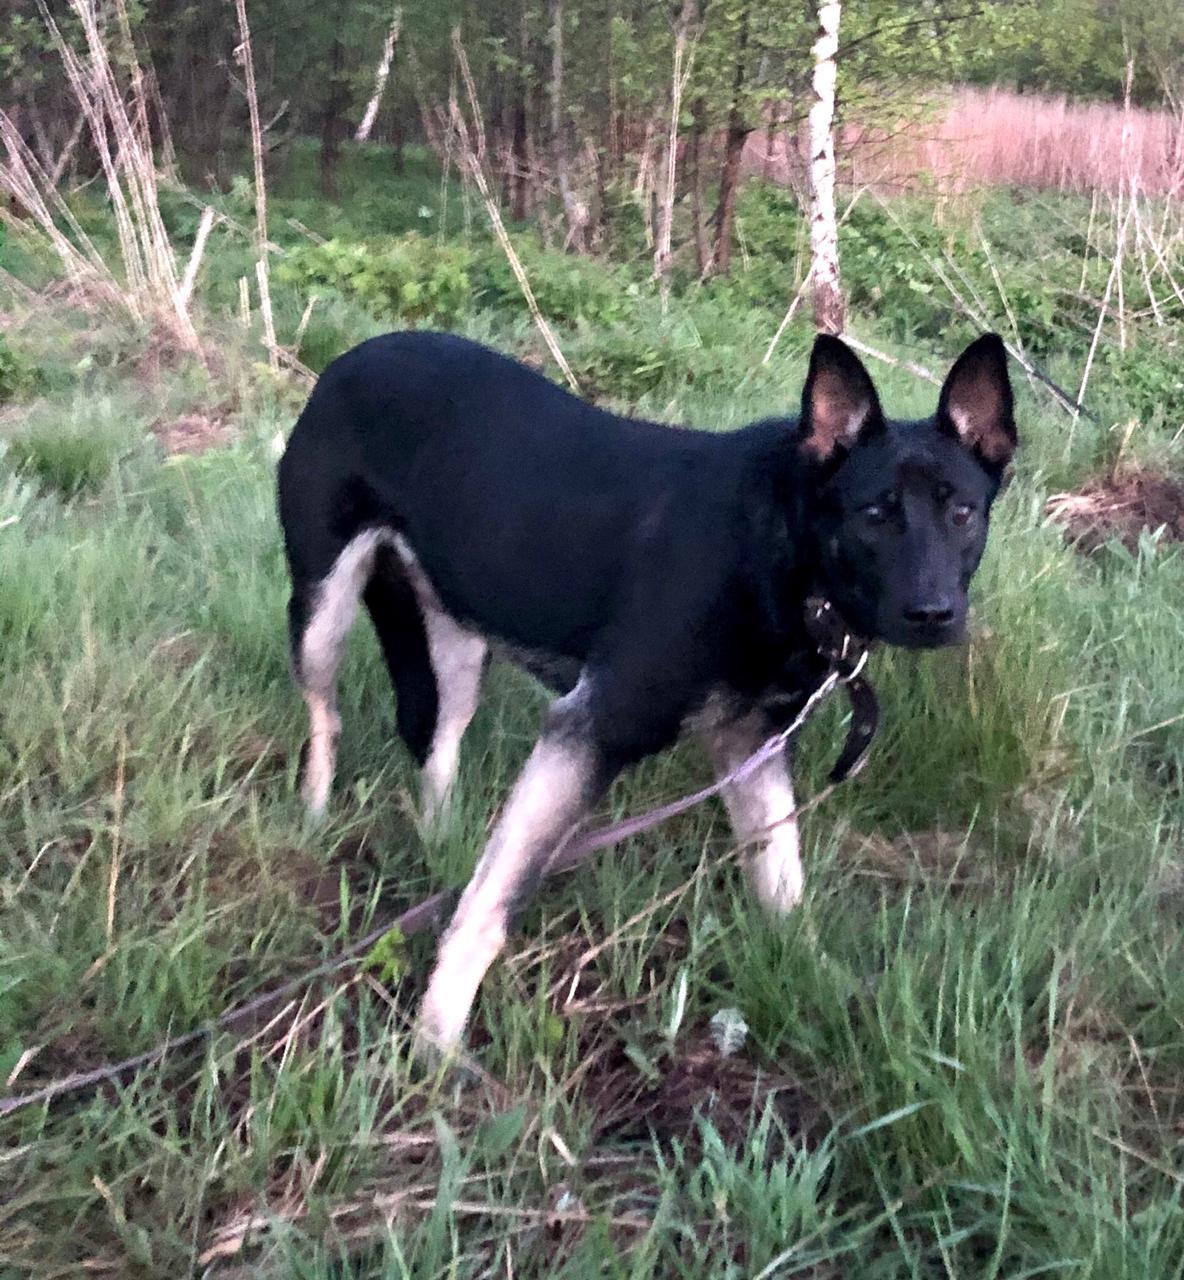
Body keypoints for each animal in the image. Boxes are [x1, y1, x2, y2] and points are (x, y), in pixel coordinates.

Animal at [277, 327, 1018, 1049]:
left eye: (962, 512)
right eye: (874, 514)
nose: (934, 615)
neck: (779, 544)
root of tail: (355, 355)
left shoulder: (754, 749)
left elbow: (783, 880)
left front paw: (813, 976)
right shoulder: (588, 730)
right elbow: (493, 903)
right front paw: (437, 1041)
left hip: (461, 641)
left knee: (441, 743)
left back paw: (441, 838)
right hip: (323, 613)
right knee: (326, 717)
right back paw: (313, 823)